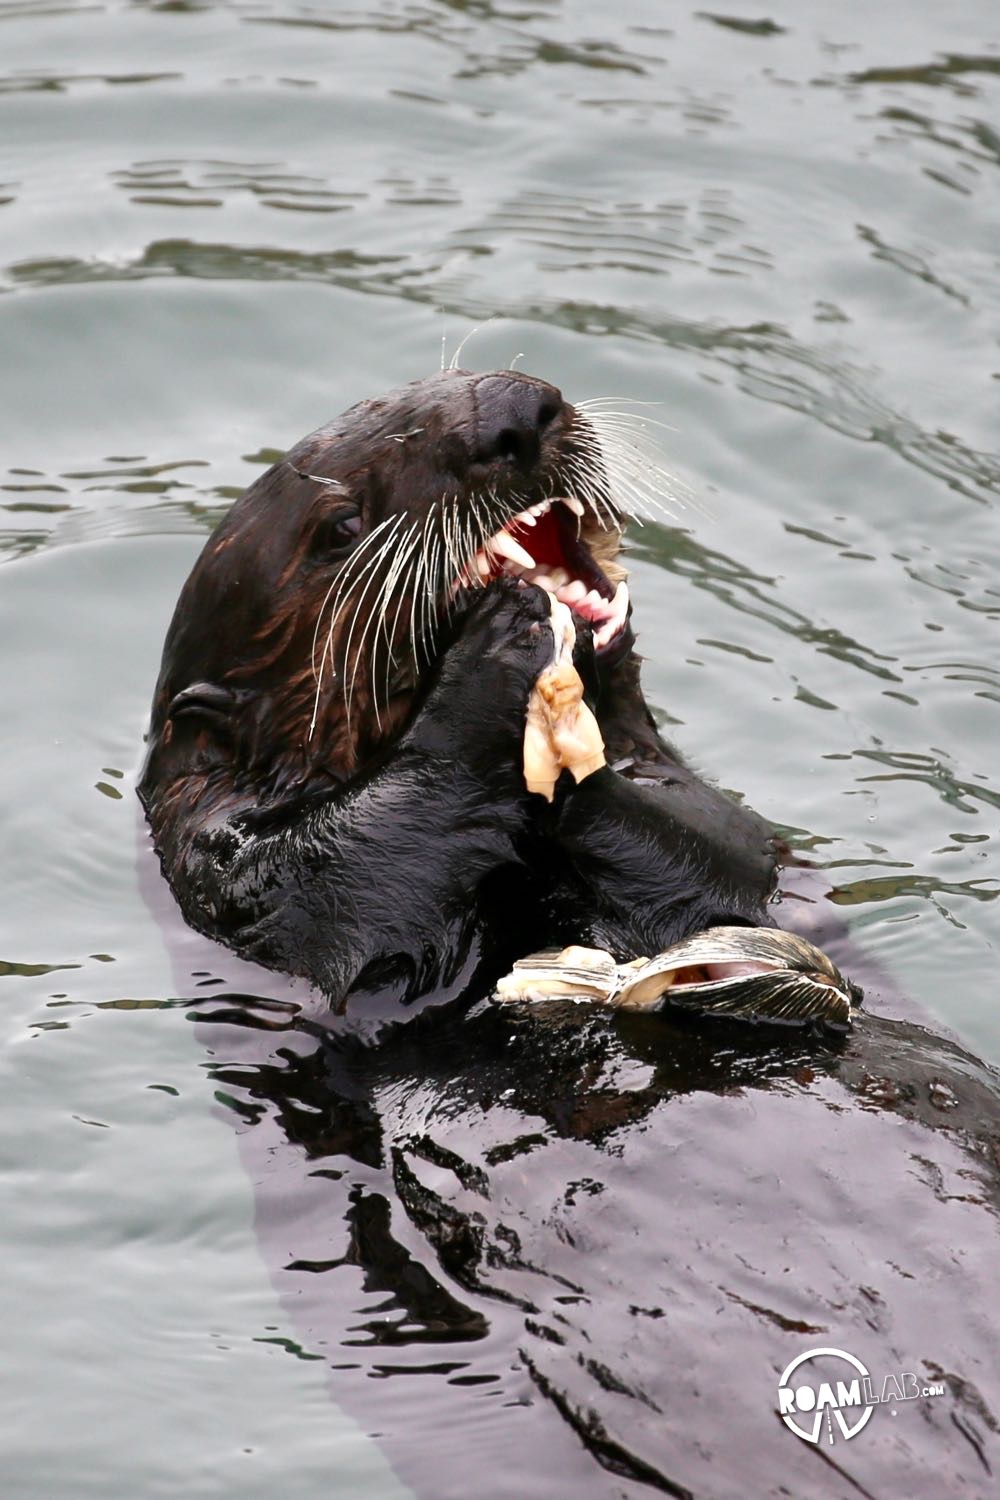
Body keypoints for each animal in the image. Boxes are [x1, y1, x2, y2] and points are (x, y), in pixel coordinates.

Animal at [137, 369, 803, 1014]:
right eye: (343, 524)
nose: (514, 413)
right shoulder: (233, 885)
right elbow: (346, 912)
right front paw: (503, 644)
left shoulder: (719, 823)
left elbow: (736, 853)